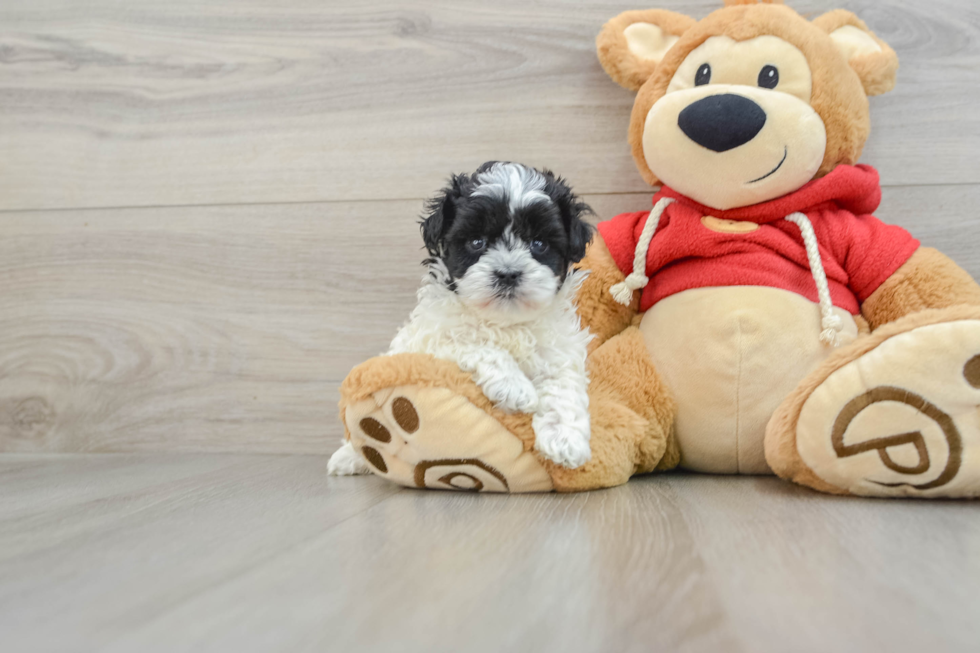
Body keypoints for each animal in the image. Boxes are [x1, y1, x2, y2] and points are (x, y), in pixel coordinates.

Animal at [330, 160, 592, 472]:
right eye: (477, 242)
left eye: (539, 244)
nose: (508, 274)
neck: (504, 322)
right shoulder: (432, 340)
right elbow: (475, 343)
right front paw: (515, 388)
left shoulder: (558, 349)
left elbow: (563, 383)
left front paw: (565, 439)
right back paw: (348, 457)